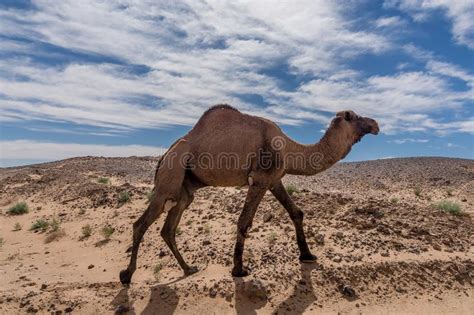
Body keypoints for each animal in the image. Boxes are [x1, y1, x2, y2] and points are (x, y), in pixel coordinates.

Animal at [120, 105, 380, 286]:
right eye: (354, 116)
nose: (376, 124)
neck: (289, 149)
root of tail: (165, 155)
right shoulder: (261, 179)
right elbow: (244, 222)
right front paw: (239, 270)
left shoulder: (274, 179)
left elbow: (296, 212)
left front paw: (307, 255)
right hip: (169, 180)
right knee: (141, 223)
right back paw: (127, 275)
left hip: (185, 191)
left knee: (168, 229)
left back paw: (188, 269)